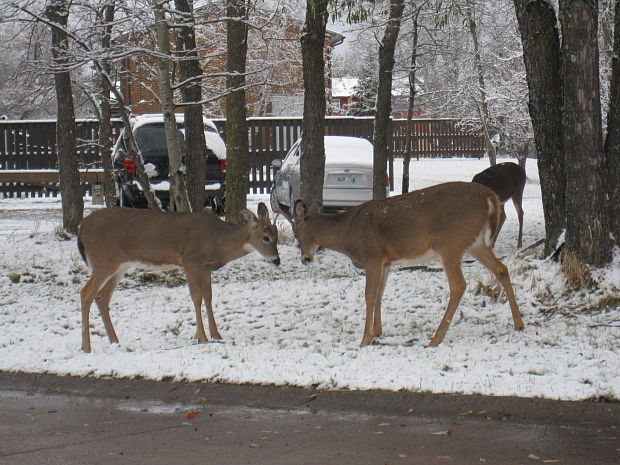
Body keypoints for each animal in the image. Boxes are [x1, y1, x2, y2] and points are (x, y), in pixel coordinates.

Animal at [77, 203, 280, 352]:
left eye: (276, 236)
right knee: (86, 292)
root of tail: (81, 228)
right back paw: (86, 347)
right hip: (104, 260)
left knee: (102, 296)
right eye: (265, 237)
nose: (277, 260)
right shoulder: (190, 260)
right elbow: (196, 297)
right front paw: (201, 337)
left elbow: (208, 297)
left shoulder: (205, 267)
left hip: (120, 265)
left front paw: (216, 334)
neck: (218, 240)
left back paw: (115, 341)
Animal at [278, 181, 524, 344]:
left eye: (296, 234)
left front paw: (365, 338)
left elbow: (369, 295)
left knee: (458, 285)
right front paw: (378, 330)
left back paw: (435, 338)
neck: (347, 234)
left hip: (450, 244)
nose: (305, 259)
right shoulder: (386, 261)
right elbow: (380, 294)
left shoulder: (373, 256)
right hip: (476, 244)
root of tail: (490, 198)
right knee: (502, 268)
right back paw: (519, 324)